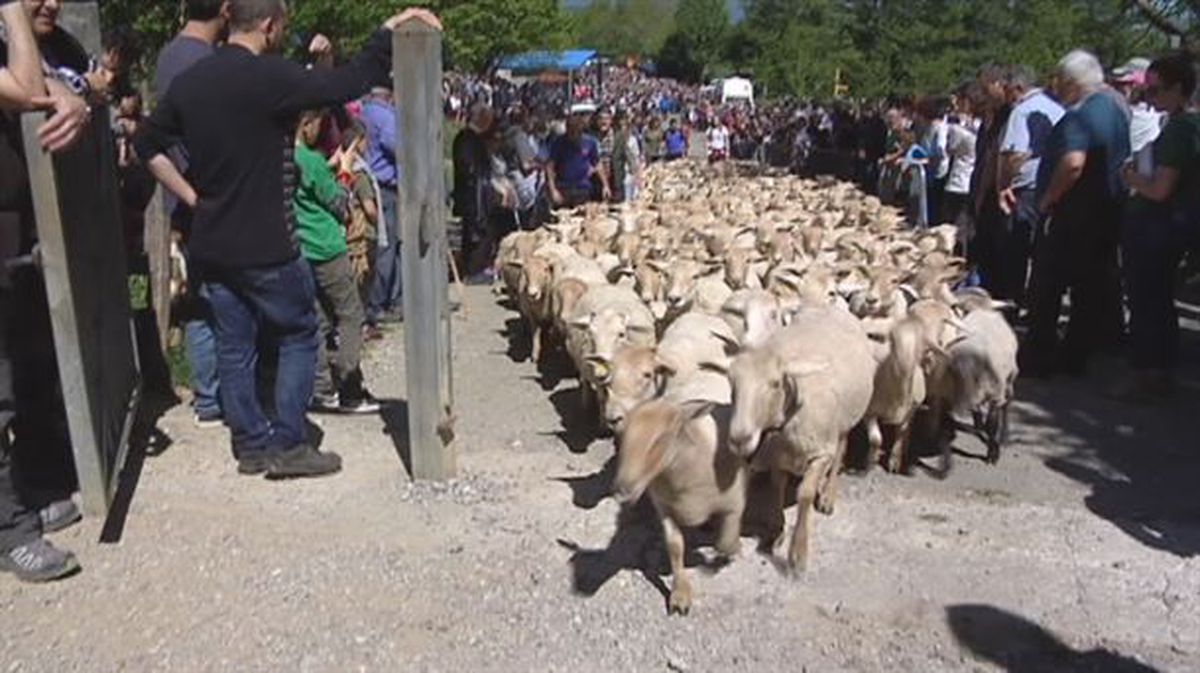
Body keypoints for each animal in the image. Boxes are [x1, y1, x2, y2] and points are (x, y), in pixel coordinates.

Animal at [720, 304, 873, 571]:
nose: (739, 439)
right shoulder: (776, 456)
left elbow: (805, 494)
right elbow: (777, 487)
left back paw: (828, 496)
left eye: (775, 383)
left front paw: (798, 551)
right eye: (731, 381)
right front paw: (777, 531)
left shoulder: (820, 453)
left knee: (840, 450)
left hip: (845, 421)